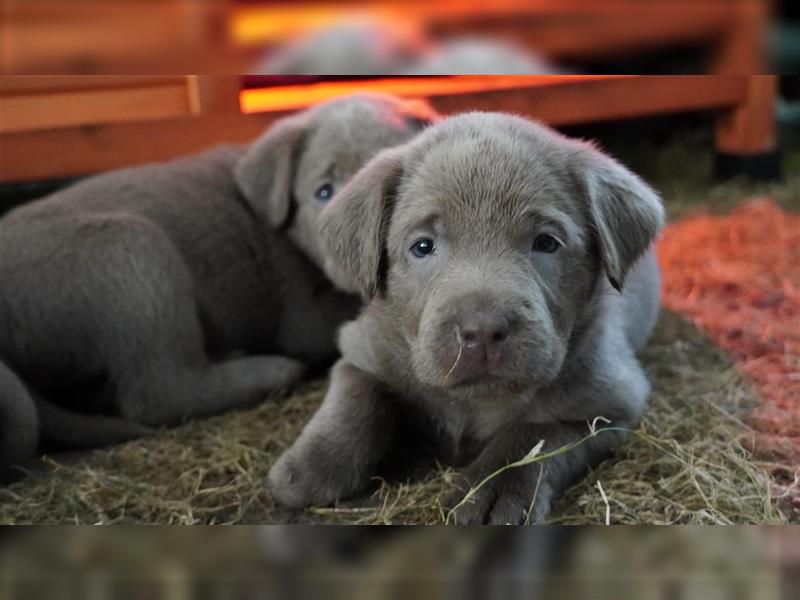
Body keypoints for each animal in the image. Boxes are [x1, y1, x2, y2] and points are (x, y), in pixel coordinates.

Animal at [268, 110, 664, 524]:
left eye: (546, 243)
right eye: (422, 246)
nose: (484, 330)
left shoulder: (608, 403)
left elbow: (532, 436)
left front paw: (490, 495)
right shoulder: (364, 347)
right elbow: (356, 396)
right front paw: (310, 468)